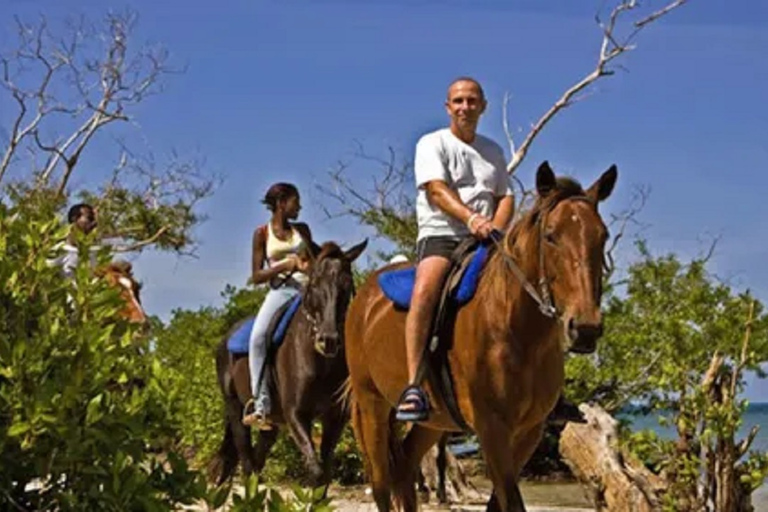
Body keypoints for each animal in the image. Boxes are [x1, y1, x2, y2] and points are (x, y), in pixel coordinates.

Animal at [208, 240, 368, 488]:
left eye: (347, 283)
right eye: (314, 283)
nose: (328, 340)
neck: (320, 363)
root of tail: (226, 338)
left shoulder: (334, 418)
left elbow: (325, 473)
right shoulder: (296, 415)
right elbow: (316, 471)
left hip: (271, 424)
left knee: (257, 461)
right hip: (235, 410)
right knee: (246, 461)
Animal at [344, 161, 616, 512]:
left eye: (602, 236)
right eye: (551, 236)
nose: (584, 328)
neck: (518, 332)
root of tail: (364, 300)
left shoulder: (528, 432)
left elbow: (499, 503)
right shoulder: (492, 428)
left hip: (434, 420)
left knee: (404, 466)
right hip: (371, 406)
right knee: (380, 484)